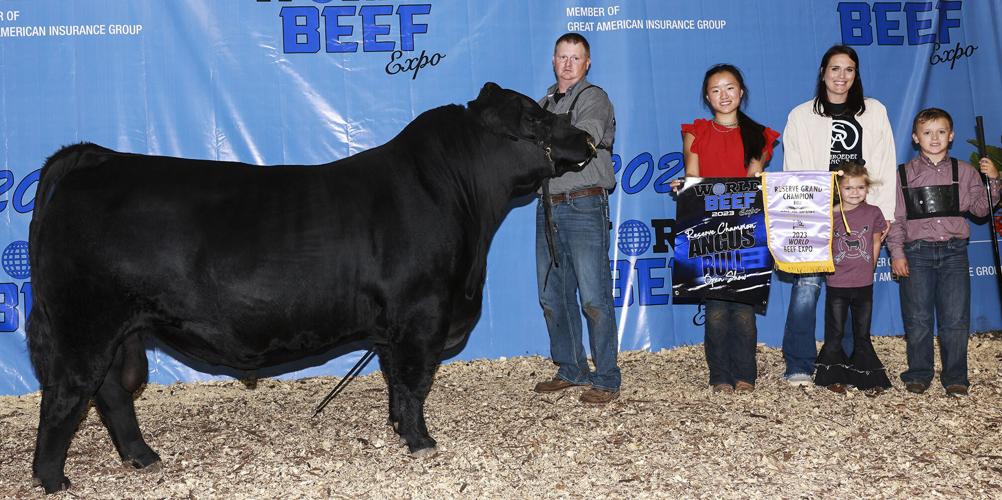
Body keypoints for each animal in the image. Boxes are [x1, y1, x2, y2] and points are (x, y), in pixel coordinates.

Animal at [26, 82, 596, 493]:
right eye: (538, 118)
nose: (589, 140)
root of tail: (95, 157)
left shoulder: (393, 328)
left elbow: (395, 381)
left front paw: (398, 430)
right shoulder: (422, 315)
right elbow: (415, 382)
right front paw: (422, 442)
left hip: (119, 329)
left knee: (110, 393)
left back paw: (143, 458)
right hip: (86, 323)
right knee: (65, 396)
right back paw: (54, 481)